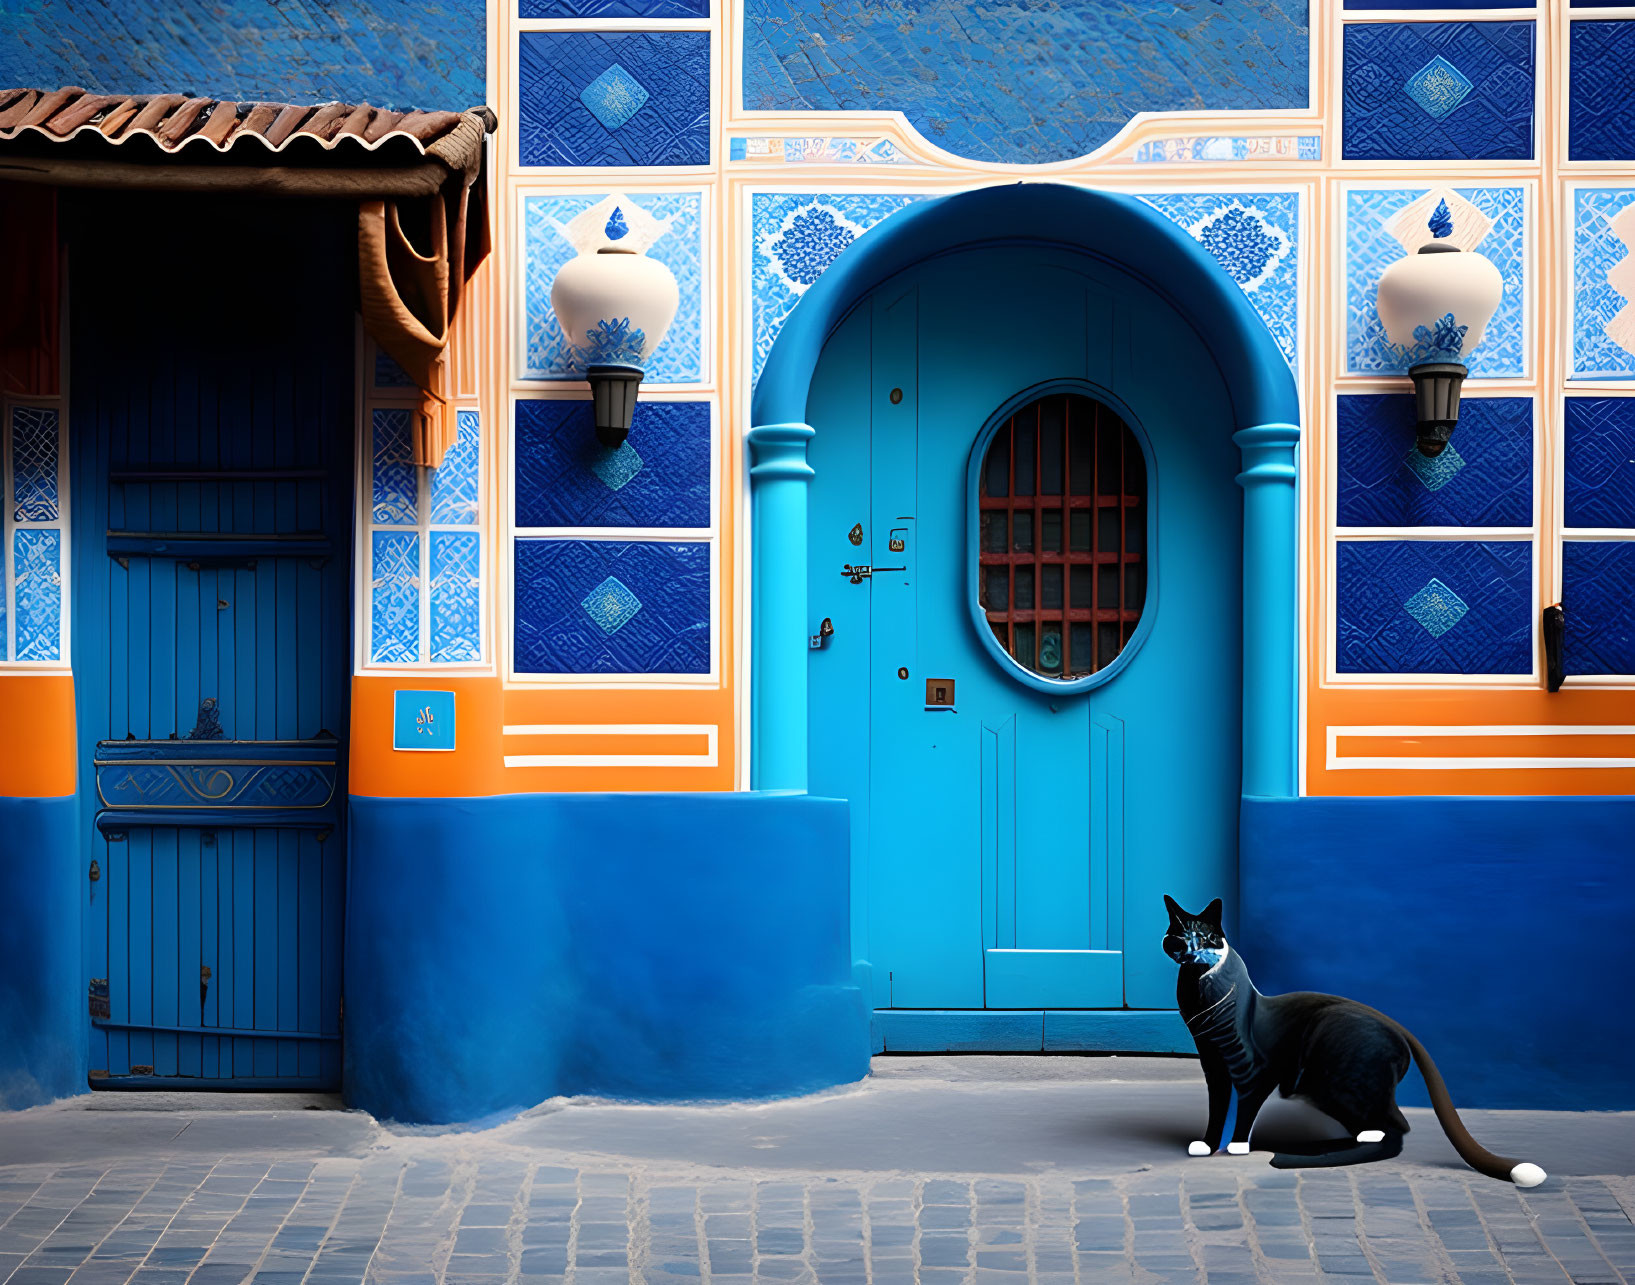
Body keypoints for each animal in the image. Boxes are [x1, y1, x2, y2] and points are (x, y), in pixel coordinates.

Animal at [1164, 889, 1543, 1183]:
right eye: (1181, 937)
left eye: (1206, 938)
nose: (1192, 951)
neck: (1200, 998)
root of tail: (1398, 1026)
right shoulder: (1213, 1063)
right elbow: (1217, 1106)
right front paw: (1207, 1144)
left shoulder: (1254, 1068)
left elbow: (1244, 1107)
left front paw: (1238, 1146)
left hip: (1326, 1075)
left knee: (1397, 1127)